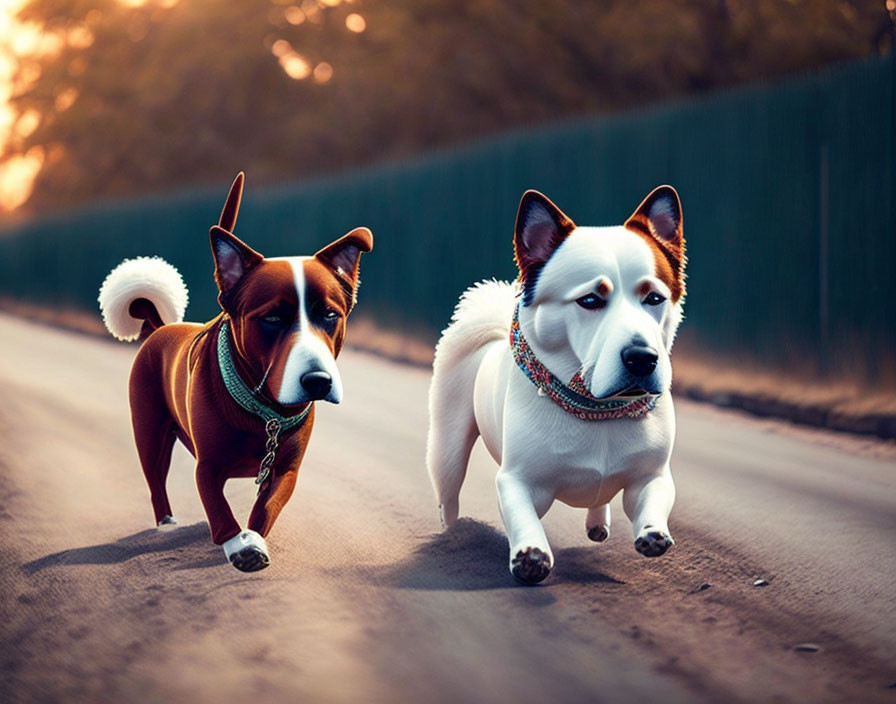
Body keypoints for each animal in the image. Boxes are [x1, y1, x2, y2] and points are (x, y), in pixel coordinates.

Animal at [100, 173, 372, 568]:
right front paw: (238, 545)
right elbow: (218, 508)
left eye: (330, 314)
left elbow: (267, 506)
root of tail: (160, 328)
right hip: (149, 431)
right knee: (155, 479)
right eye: (272, 318)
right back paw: (165, 523)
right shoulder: (208, 465)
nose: (318, 382)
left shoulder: (286, 469)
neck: (264, 412)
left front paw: (254, 538)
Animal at [428, 186, 688, 584]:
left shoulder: (652, 475)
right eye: (590, 300)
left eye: (655, 298)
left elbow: (653, 498)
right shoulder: (516, 479)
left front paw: (652, 533)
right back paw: (453, 533)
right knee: (449, 494)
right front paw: (530, 554)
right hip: (448, 449)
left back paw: (598, 523)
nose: (642, 358)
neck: (597, 410)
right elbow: (523, 515)